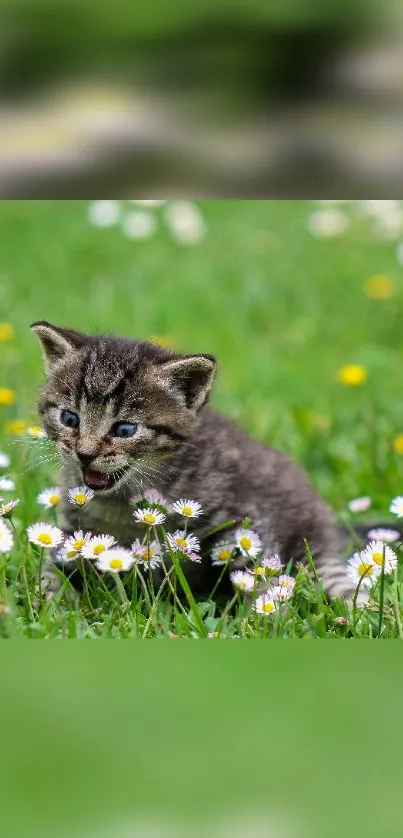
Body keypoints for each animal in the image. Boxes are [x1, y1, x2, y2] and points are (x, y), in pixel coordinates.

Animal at [30, 318, 356, 600]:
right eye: (70, 418)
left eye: (125, 429)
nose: (85, 454)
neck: (121, 502)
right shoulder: (73, 530)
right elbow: (52, 570)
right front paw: (51, 602)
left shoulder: (246, 519)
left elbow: (259, 572)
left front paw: (266, 615)